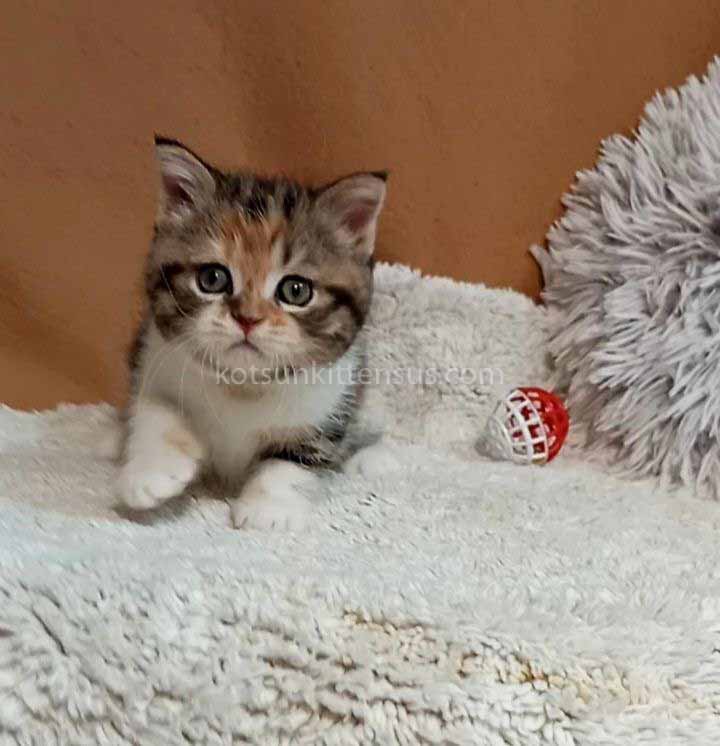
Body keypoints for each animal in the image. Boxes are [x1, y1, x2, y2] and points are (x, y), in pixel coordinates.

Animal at [117, 136, 387, 530]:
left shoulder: (330, 398)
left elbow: (295, 457)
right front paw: (151, 471)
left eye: (296, 290)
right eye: (212, 278)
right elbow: (154, 408)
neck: (242, 385)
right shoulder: (154, 353)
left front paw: (269, 508)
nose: (247, 318)